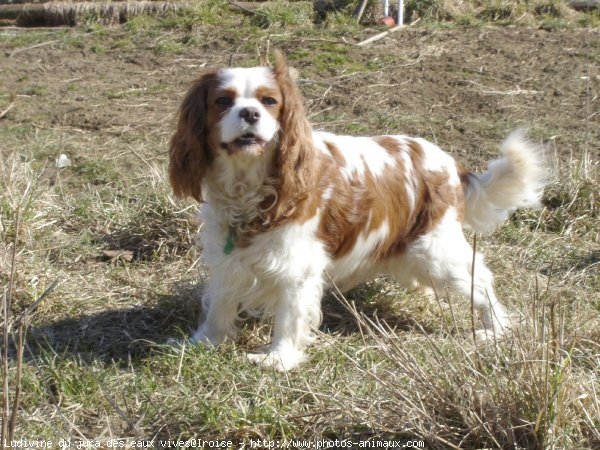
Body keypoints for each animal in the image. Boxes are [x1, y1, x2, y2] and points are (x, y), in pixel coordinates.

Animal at [168, 52, 544, 370]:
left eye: (269, 101)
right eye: (223, 101)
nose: (249, 113)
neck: (249, 187)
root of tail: (452, 164)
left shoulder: (297, 267)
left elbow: (289, 317)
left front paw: (279, 359)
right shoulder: (226, 257)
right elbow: (219, 304)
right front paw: (203, 342)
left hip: (436, 251)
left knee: (481, 281)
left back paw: (495, 328)